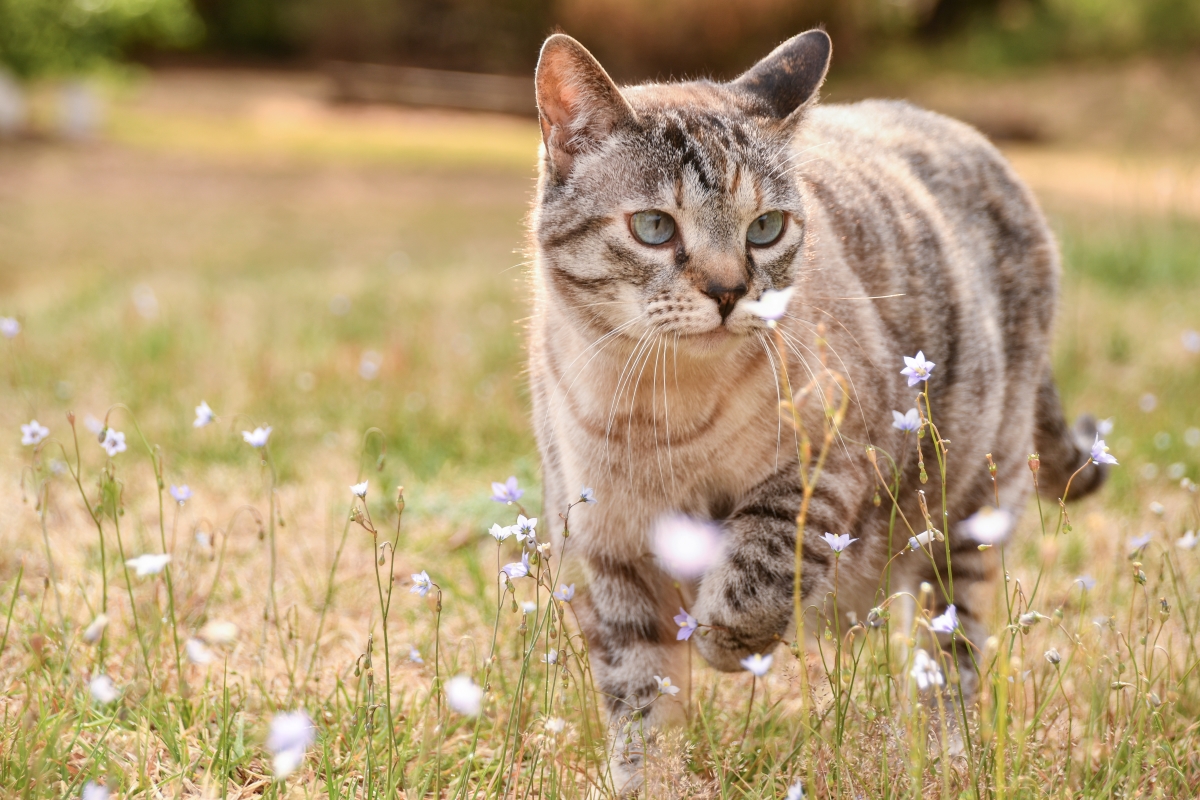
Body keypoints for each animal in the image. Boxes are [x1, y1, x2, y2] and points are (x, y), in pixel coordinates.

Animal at [525, 28, 1104, 791]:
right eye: (653, 227)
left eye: (765, 229)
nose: (729, 291)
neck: (663, 414)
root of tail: (974, 138)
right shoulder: (611, 552)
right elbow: (642, 705)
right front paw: (651, 783)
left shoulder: (829, 466)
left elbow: (757, 572)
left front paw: (723, 641)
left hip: (965, 512)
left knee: (949, 660)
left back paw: (942, 761)